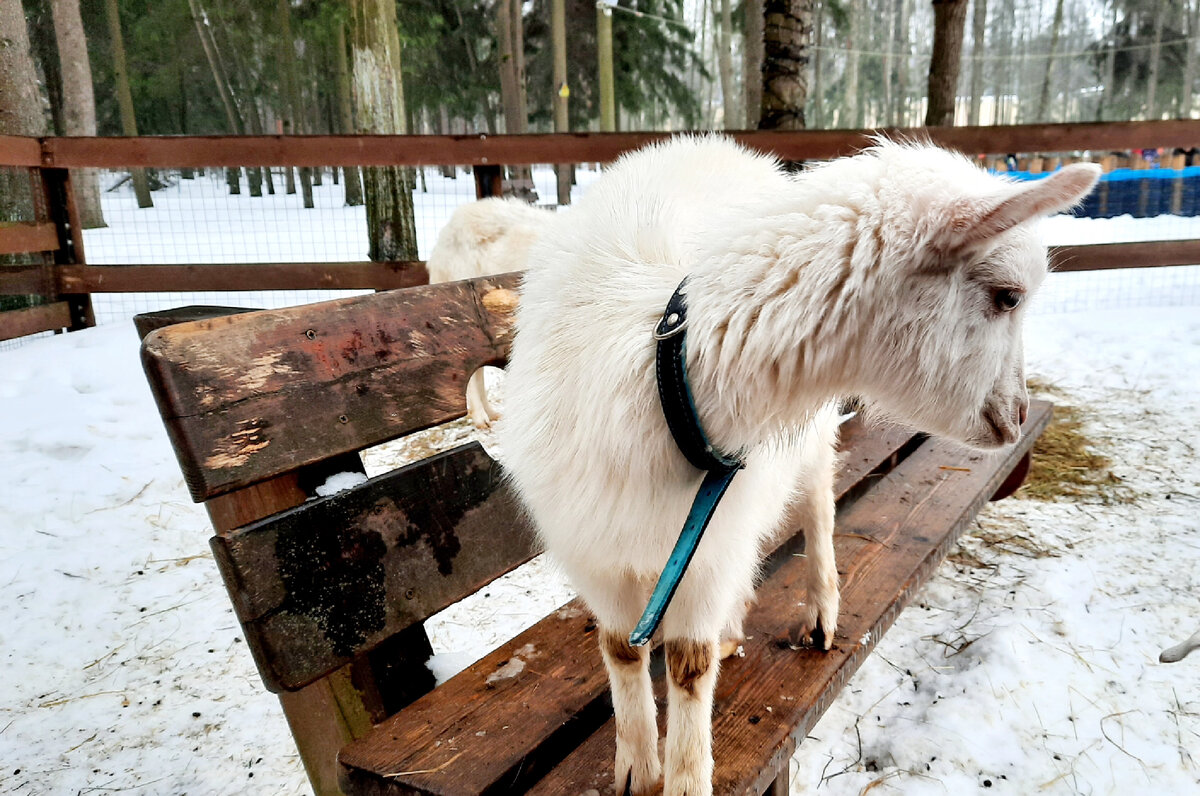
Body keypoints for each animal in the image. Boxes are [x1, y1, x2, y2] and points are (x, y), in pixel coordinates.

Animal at [496, 138, 1099, 796]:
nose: (1016, 416)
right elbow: (621, 649)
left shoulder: (709, 545)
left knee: (817, 510)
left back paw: (819, 612)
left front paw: (683, 778)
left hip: (804, 448)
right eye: (1008, 296)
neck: (665, 368)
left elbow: (688, 666)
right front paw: (635, 767)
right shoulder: (591, 547)